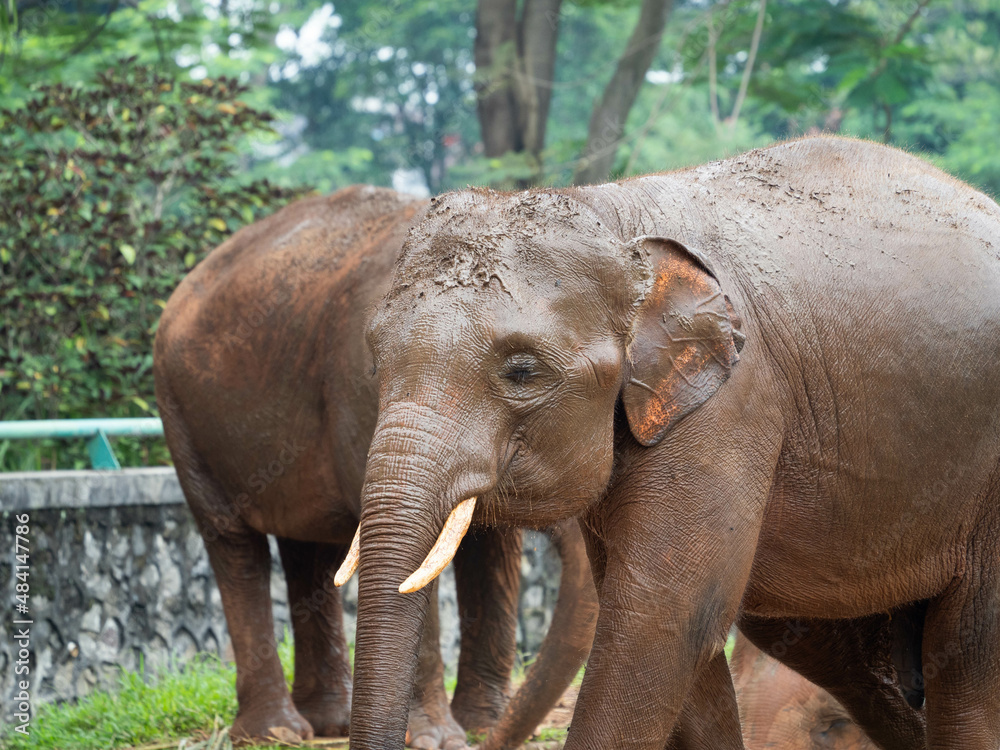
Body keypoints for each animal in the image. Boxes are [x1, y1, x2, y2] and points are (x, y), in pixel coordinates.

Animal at [153, 185, 599, 748]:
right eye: (522, 377)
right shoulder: (364, 395)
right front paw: (438, 740)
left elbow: (491, 549)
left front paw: (479, 726)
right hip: (182, 417)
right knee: (233, 543)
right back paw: (276, 733)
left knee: (309, 549)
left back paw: (328, 722)